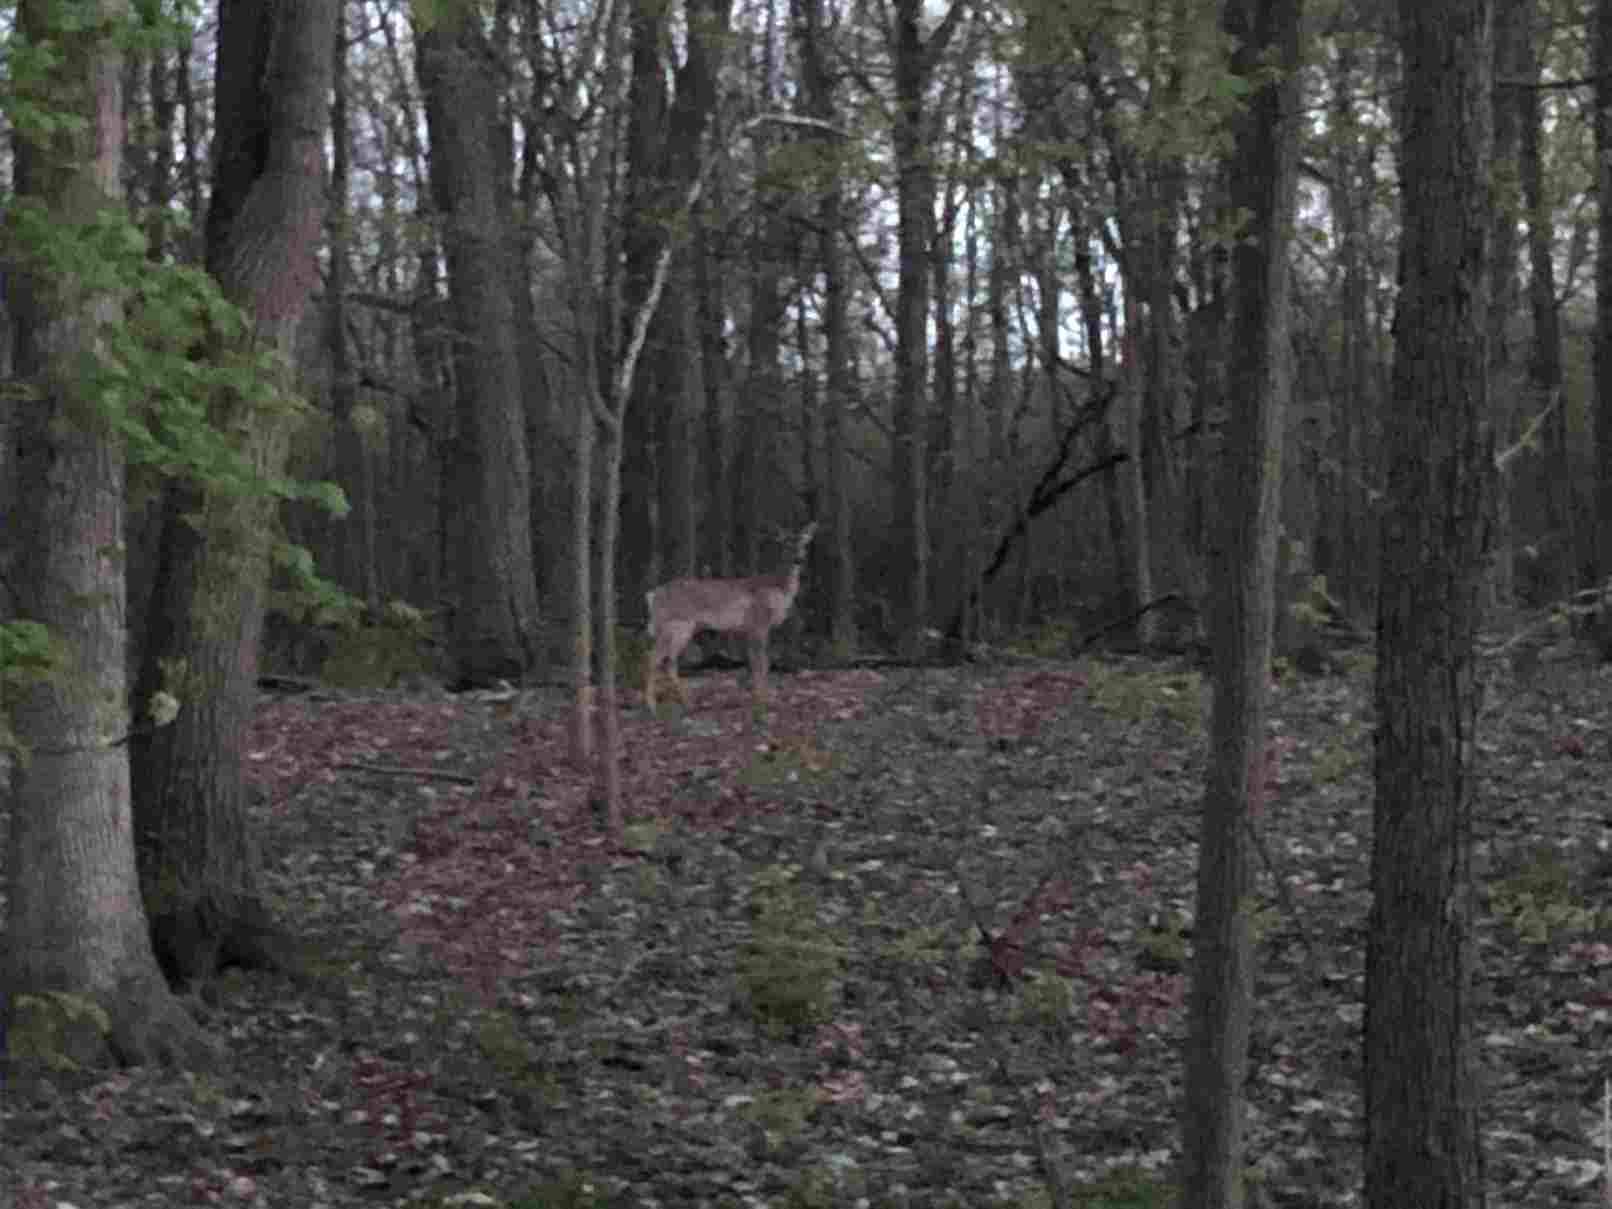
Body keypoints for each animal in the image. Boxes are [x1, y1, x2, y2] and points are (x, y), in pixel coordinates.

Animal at [641, 525, 818, 715]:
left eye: (804, 543)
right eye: (786, 544)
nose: (798, 560)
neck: (778, 591)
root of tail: (652, 595)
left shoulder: (751, 628)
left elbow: (756, 661)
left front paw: (758, 697)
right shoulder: (759, 622)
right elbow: (761, 662)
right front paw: (762, 702)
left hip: (682, 628)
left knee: (669, 661)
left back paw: (688, 703)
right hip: (675, 625)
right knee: (654, 657)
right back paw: (652, 706)